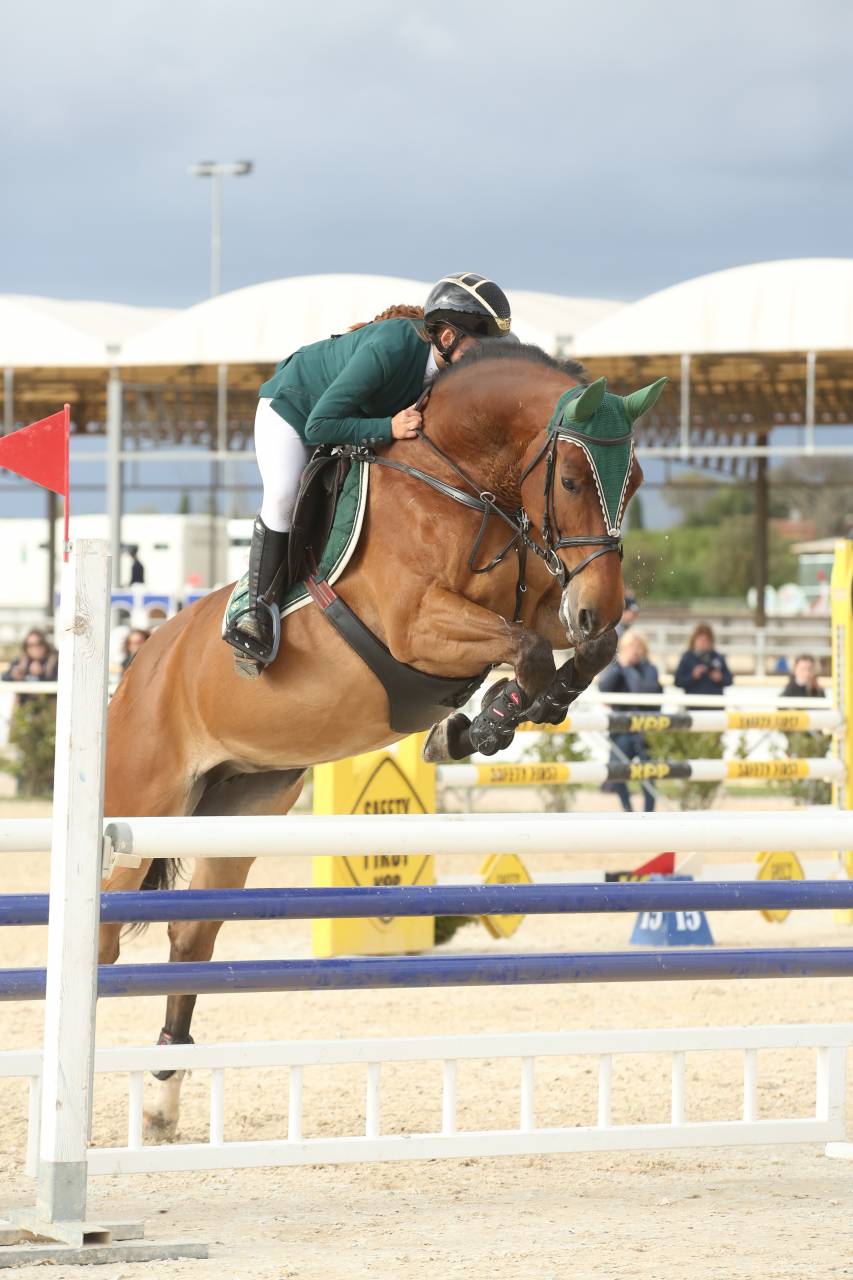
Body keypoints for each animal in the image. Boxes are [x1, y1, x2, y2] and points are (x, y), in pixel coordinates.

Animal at [100, 342, 659, 1138]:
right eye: (574, 479)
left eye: (634, 480)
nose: (599, 605)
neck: (463, 487)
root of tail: (139, 667)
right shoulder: (418, 627)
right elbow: (523, 649)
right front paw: (479, 725)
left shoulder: (537, 608)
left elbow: (579, 650)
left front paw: (486, 721)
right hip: (139, 808)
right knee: (104, 938)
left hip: (238, 812)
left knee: (190, 941)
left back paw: (161, 1102)